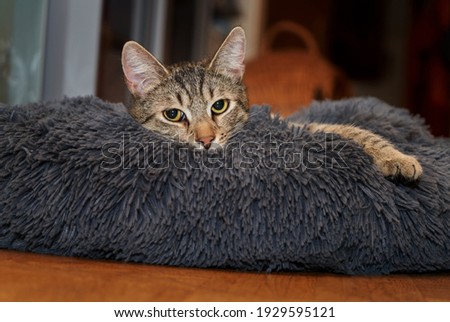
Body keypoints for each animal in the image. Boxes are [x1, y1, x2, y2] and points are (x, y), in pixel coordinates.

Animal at [120, 27, 422, 181]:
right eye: (173, 114)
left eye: (219, 106)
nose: (206, 140)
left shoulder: (299, 125)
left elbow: (353, 131)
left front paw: (396, 157)